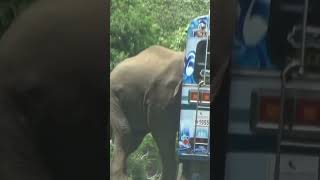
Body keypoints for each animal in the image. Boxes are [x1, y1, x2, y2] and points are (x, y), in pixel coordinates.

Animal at [110, 45, 184, 180]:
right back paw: (121, 176)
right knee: (126, 132)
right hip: (113, 96)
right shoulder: (162, 95)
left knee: (134, 139)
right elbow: (163, 133)